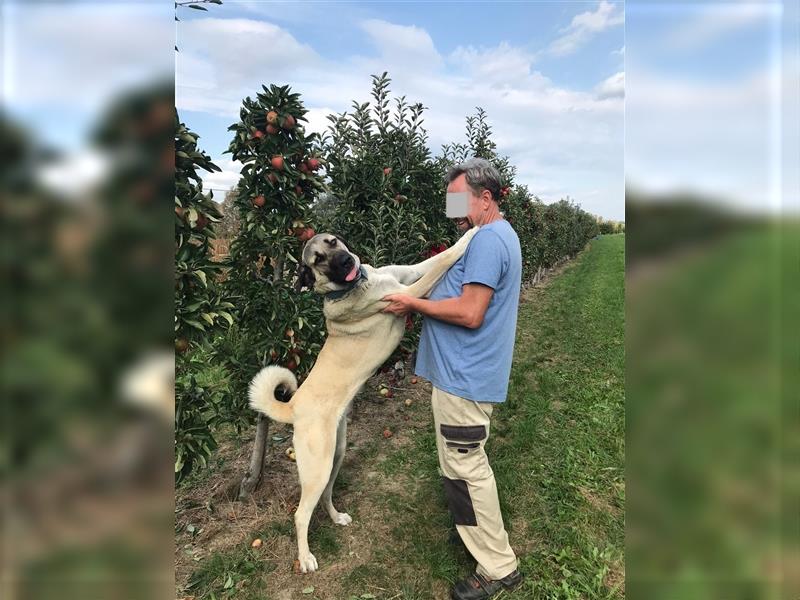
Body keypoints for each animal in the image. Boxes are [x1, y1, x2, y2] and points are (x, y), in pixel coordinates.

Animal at [247, 227, 478, 576]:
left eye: (332, 242)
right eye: (317, 260)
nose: (346, 262)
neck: (358, 284)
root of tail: (293, 405)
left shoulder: (408, 274)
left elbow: (436, 258)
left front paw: (468, 232)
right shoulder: (409, 292)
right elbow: (446, 260)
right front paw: (474, 234)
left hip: (336, 455)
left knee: (325, 495)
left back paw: (336, 517)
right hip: (316, 468)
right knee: (301, 514)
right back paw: (306, 557)